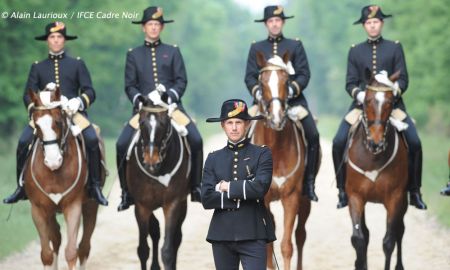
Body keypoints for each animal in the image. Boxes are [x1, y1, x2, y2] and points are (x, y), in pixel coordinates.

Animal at [25, 87, 105, 268]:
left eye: (58, 121)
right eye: (37, 125)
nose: (53, 161)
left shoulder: (73, 206)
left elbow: (71, 252)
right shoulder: (38, 209)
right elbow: (46, 254)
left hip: (91, 205)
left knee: (84, 247)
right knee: (56, 239)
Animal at [125, 95, 191, 270]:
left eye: (164, 123)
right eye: (141, 122)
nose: (151, 162)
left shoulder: (172, 203)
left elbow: (167, 250)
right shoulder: (141, 206)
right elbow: (143, 249)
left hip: (182, 204)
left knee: (175, 239)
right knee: (155, 231)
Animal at [253, 51, 312, 270]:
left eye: (286, 81)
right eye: (261, 82)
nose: (277, 118)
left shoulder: (292, 196)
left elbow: (287, 245)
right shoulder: (263, 199)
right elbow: (267, 245)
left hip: (305, 199)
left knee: (300, 234)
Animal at [344, 70, 408, 270]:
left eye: (391, 102)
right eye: (367, 101)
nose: (376, 143)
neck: (372, 157)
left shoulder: (395, 197)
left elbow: (388, 242)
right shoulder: (355, 196)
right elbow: (358, 239)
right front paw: (359, 264)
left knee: (399, 231)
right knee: (365, 233)